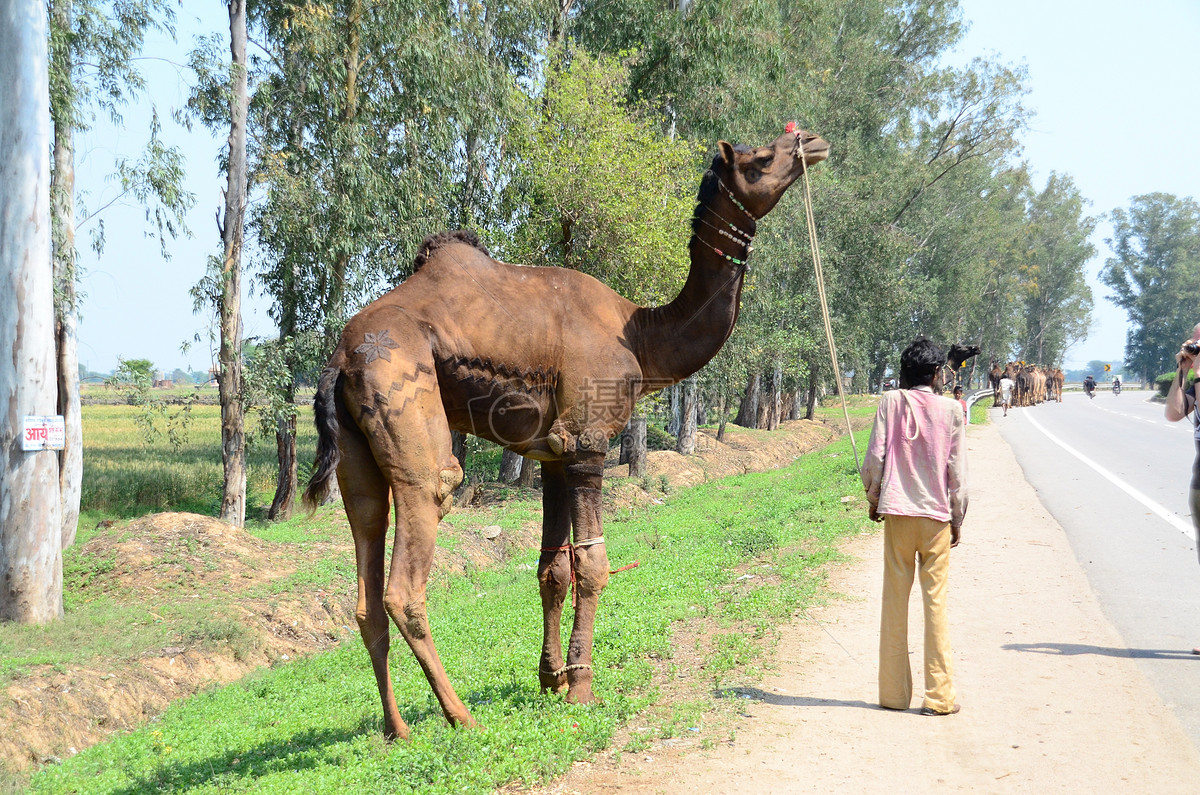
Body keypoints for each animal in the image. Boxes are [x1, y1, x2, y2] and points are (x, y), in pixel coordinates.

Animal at [300, 126, 830, 739]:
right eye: (760, 158)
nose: (812, 141)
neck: (640, 335)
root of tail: (338, 361)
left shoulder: (551, 453)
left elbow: (552, 569)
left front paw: (550, 679)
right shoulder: (587, 442)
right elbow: (593, 565)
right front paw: (581, 688)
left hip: (359, 456)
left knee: (365, 559)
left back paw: (397, 730)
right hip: (405, 405)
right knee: (412, 560)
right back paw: (461, 717)